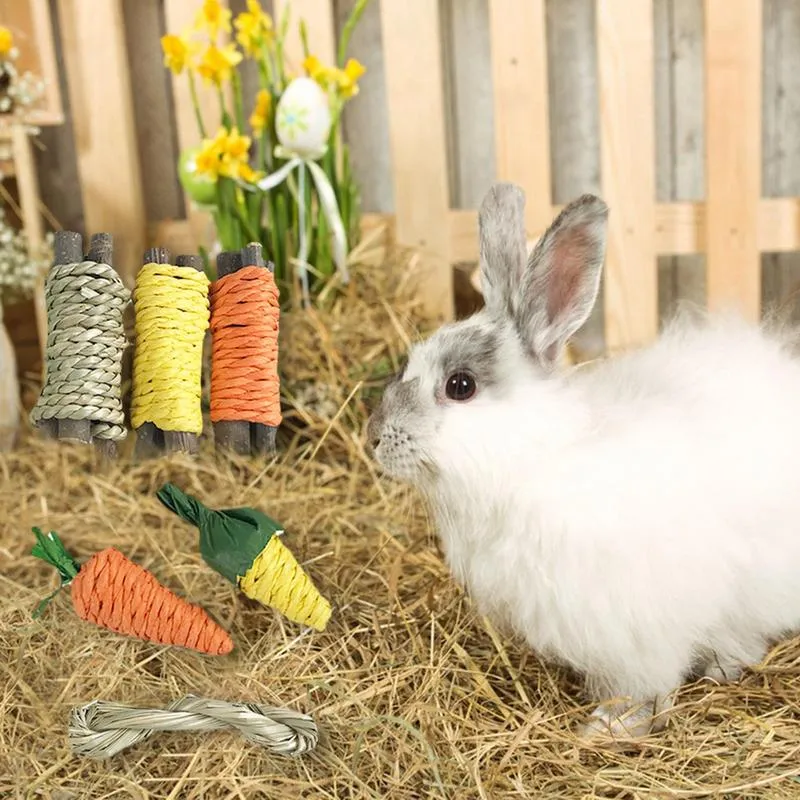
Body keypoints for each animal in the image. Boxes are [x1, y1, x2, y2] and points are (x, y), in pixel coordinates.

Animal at [366, 181, 800, 741]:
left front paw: (610, 727)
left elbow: (642, 685)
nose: (375, 437)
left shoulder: (639, 631)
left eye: (460, 385)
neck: (533, 459)